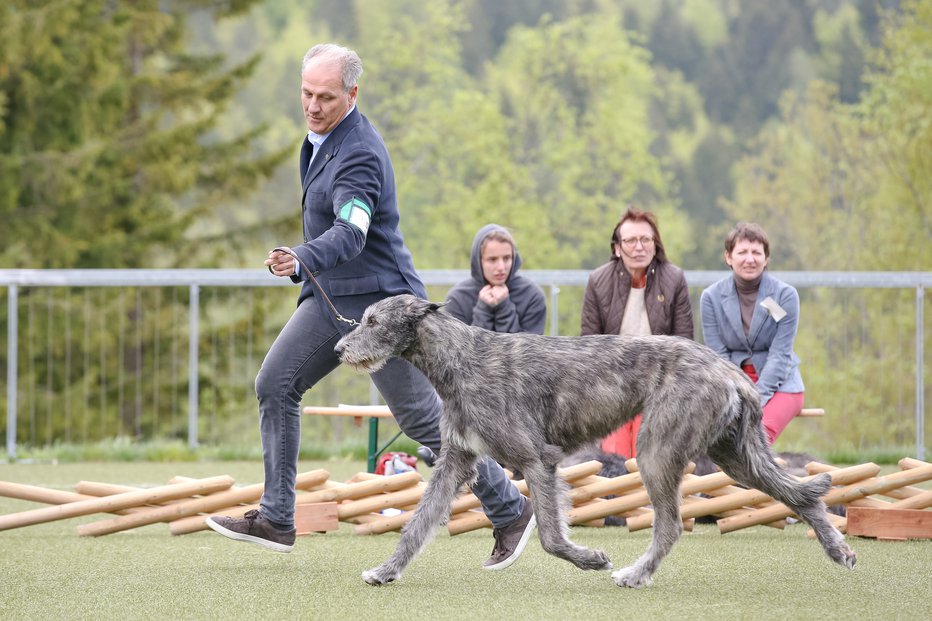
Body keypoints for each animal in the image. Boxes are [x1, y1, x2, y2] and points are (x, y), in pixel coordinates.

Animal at [334, 296, 852, 588]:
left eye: (373, 320)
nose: (338, 349)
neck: (459, 359)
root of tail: (730, 372)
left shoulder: (537, 460)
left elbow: (549, 536)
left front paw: (590, 559)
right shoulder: (456, 460)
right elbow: (417, 524)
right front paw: (385, 571)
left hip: (656, 451)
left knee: (671, 525)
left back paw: (635, 574)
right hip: (734, 455)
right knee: (800, 493)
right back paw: (837, 549)